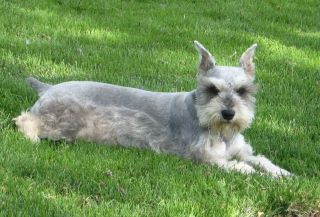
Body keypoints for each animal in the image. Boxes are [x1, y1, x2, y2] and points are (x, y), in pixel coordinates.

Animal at [14, 40, 290, 176]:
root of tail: (48, 87)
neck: (219, 131)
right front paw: (261, 176)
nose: (229, 114)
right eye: (213, 89)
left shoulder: (241, 150)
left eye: (243, 90)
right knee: (24, 120)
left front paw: (284, 174)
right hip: (64, 120)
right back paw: (32, 138)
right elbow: (242, 167)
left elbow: (261, 160)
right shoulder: (208, 158)